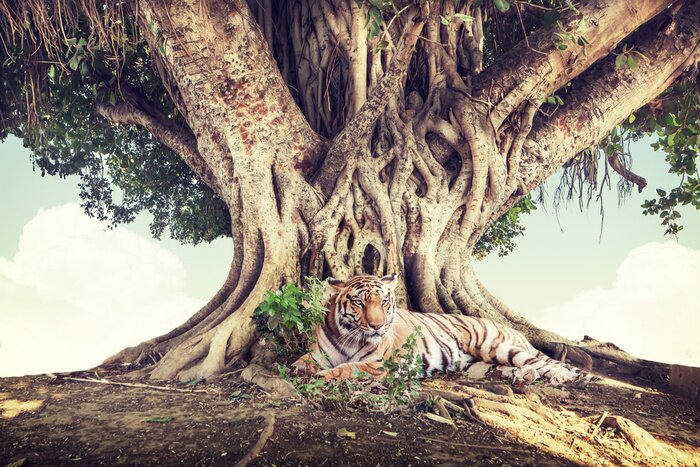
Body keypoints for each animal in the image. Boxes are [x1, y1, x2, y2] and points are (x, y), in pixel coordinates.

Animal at [292, 273, 589, 385]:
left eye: (384, 302)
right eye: (359, 302)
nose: (377, 326)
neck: (348, 338)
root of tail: (514, 329)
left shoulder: (377, 364)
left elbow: (346, 368)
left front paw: (322, 375)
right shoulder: (318, 353)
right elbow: (301, 362)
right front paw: (297, 370)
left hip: (495, 345)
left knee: (543, 363)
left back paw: (560, 376)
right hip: (481, 363)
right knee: (518, 367)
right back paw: (520, 377)